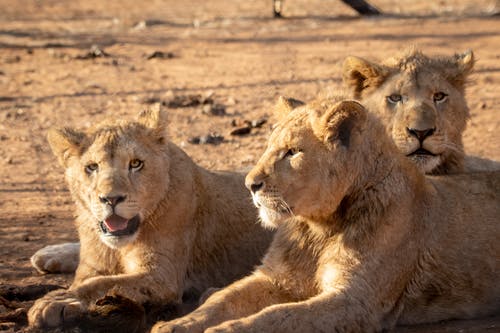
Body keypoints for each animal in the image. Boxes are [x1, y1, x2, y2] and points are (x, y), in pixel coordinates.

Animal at [28, 105, 274, 326]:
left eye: (136, 164)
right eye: (92, 167)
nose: (111, 199)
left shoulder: (162, 276)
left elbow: (99, 283)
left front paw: (57, 300)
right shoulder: (94, 263)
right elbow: (95, 278)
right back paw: (50, 253)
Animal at [152, 96, 500, 332]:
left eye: (292, 152)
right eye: (268, 147)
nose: (250, 184)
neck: (319, 226)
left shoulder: (355, 300)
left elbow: (280, 316)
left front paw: (226, 329)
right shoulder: (276, 276)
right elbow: (223, 299)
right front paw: (176, 324)